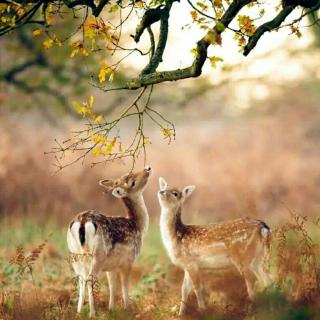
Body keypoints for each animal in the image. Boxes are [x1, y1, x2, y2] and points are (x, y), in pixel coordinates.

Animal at [67, 166, 152, 316]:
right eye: (132, 182)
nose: (147, 168)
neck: (137, 226)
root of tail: (82, 222)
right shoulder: (128, 260)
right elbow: (124, 285)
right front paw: (127, 308)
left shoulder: (111, 266)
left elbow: (112, 285)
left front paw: (111, 309)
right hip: (97, 255)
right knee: (90, 278)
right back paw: (92, 313)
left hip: (75, 256)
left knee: (80, 278)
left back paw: (78, 312)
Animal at [157, 178, 270, 316]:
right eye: (164, 187)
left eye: (175, 193)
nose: (161, 192)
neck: (177, 237)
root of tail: (263, 228)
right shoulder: (186, 265)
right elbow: (184, 289)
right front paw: (180, 314)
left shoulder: (191, 262)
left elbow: (197, 288)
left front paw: (202, 311)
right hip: (258, 258)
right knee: (267, 279)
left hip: (243, 256)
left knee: (252, 281)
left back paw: (250, 311)